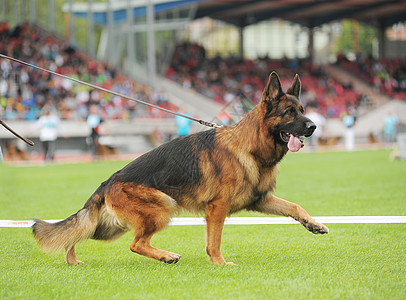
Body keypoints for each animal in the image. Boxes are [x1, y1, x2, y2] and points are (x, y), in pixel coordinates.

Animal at [32, 72, 330, 264]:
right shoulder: (217, 209)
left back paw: (73, 259)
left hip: (109, 227)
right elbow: (214, 241)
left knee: (80, 233)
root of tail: (108, 181)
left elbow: (294, 206)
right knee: (136, 243)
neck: (251, 147)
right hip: (162, 208)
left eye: (303, 110)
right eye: (289, 113)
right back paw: (166, 256)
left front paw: (314, 224)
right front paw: (220, 264)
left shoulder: (261, 200)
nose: (314, 127)